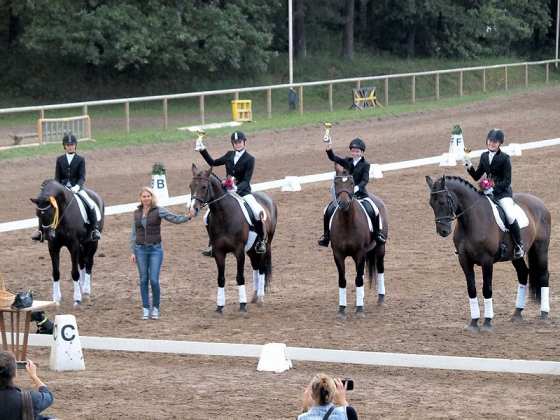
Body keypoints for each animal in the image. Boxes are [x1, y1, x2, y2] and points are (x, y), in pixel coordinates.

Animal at [30, 179, 104, 310]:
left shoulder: (73, 245)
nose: (49, 236)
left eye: (51, 214)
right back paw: (83, 288)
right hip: (81, 244)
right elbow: (56, 272)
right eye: (38, 214)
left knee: (89, 263)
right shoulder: (53, 246)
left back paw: (86, 292)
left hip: (92, 242)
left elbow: (74, 272)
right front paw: (56, 300)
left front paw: (77, 300)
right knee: (82, 263)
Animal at [188, 164, 278, 316]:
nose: (193, 210)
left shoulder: (239, 251)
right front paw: (219, 308)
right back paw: (254, 296)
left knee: (261, 267)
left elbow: (240, 277)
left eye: (204, 187)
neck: (223, 215)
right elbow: (221, 279)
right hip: (251, 249)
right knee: (255, 266)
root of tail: (267, 198)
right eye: (190, 186)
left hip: (266, 244)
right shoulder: (218, 252)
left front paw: (242, 306)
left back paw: (260, 298)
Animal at [328, 164, 390, 318]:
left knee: (380, 269)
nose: (344, 204)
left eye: (352, 183)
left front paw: (360, 311)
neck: (346, 222)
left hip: (380, 248)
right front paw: (342, 310)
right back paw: (359, 298)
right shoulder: (338, 254)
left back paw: (381, 300)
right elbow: (343, 280)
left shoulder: (360, 253)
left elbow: (359, 279)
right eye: (336, 183)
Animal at [426, 174, 548, 332]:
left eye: (442, 202)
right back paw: (517, 314)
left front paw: (487, 323)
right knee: (522, 273)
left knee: (543, 275)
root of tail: (538, 201)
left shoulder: (487, 261)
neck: (471, 220)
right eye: (431, 204)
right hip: (515, 255)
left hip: (541, 247)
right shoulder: (464, 261)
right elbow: (471, 289)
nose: (443, 231)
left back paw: (544, 315)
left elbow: (487, 289)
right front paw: (473, 323)